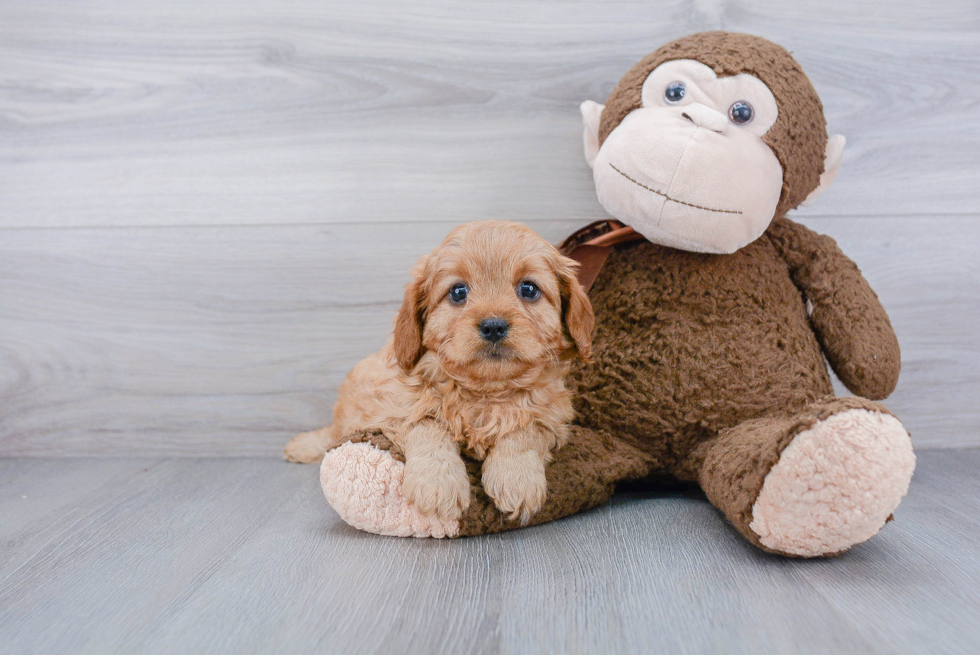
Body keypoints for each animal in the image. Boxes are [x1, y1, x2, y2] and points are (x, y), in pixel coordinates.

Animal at [284, 223, 588, 524]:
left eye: (528, 289)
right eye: (457, 292)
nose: (493, 326)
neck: (484, 392)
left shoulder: (551, 417)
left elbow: (524, 431)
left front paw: (517, 479)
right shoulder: (395, 406)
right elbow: (427, 424)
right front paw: (439, 484)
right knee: (334, 431)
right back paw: (303, 446)